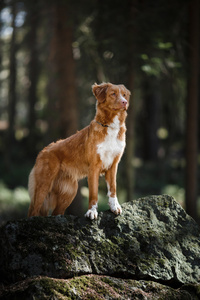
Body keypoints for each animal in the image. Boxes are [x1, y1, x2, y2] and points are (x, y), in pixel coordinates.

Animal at [28, 83, 131, 219]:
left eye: (124, 95)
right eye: (113, 94)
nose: (125, 102)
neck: (110, 127)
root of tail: (42, 152)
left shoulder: (113, 165)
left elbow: (113, 189)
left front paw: (115, 207)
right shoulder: (94, 167)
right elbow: (93, 193)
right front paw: (91, 212)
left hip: (69, 192)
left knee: (56, 212)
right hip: (43, 187)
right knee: (33, 211)